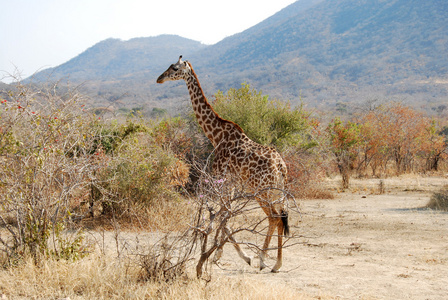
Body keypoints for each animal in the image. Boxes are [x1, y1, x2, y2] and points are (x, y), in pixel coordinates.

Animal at [158, 55, 290, 274]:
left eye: (174, 68)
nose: (159, 78)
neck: (216, 136)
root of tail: (281, 165)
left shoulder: (222, 179)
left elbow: (223, 217)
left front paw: (233, 256)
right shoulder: (232, 183)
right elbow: (225, 216)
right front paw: (222, 254)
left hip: (261, 190)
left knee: (274, 217)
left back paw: (264, 260)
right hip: (275, 191)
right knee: (280, 218)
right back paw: (276, 263)